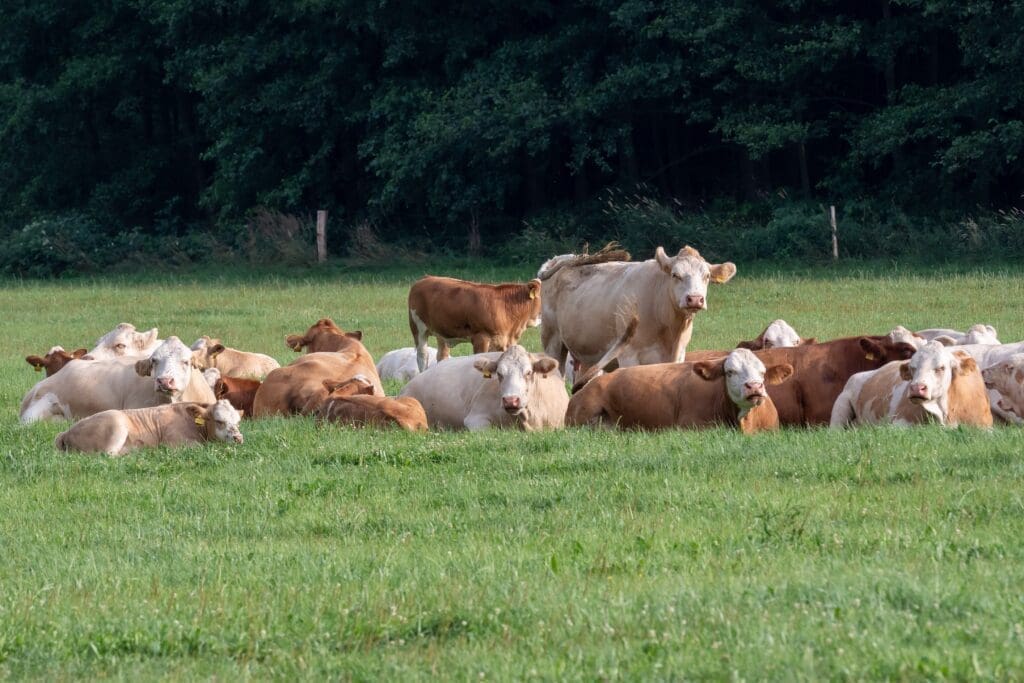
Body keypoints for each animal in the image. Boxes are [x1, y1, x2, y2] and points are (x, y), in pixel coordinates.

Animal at [54, 400, 243, 457]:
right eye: (219, 421)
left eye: (237, 422)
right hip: (117, 425)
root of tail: (66, 432)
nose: (238, 438)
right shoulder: (174, 443)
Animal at [407, 276, 543, 372]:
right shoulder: (481, 337)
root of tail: (424, 279)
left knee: (442, 356)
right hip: (418, 328)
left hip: (442, 333)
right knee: (422, 356)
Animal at [539, 245, 736, 372]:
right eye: (675, 275)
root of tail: (561, 258)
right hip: (552, 340)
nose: (694, 299)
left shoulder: (679, 355)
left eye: (707, 276)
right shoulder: (629, 356)